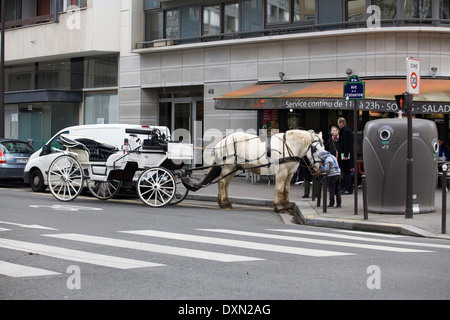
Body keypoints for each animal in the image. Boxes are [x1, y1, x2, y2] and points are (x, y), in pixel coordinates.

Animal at [186, 130, 324, 212]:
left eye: (324, 148)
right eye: (315, 149)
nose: (321, 168)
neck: (288, 146)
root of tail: (222, 140)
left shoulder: (289, 174)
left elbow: (286, 190)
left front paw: (286, 205)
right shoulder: (281, 173)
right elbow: (279, 189)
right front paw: (279, 207)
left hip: (232, 169)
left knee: (225, 184)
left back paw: (225, 202)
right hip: (228, 167)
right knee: (222, 183)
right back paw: (224, 204)